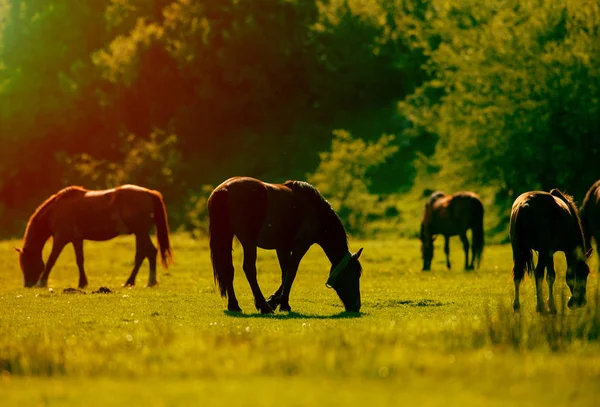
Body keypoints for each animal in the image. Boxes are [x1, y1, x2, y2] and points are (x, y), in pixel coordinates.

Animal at [17, 185, 171, 290]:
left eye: (26, 262)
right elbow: (80, 260)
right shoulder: (76, 240)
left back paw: (145, 281)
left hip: (141, 232)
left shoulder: (60, 239)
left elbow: (51, 260)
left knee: (148, 253)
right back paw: (134, 282)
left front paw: (41, 282)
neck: (55, 211)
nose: (27, 284)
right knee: (145, 254)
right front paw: (82, 283)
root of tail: (149, 193)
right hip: (140, 233)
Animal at [206, 177, 364, 314]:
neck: (315, 210)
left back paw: (235, 305)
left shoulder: (282, 247)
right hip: (248, 242)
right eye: (355, 275)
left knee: (228, 269)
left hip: (229, 237)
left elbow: (285, 273)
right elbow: (291, 272)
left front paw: (275, 301)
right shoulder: (301, 246)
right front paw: (283, 304)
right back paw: (263, 306)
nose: (356, 306)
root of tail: (224, 189)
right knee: (249, 269)